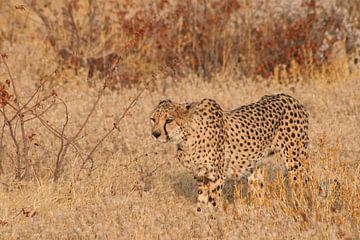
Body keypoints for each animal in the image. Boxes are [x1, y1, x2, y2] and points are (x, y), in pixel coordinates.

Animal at [149, 93, 310, 210]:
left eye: (169, 120)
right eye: (153, 119)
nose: (156, 134)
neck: (187, 138)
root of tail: (289, 97)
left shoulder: (216, 177)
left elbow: (212, 204)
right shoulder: (202, 177)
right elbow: (201, 203)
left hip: (296, 161)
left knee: (302, 185)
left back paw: (302, 208)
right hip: (256, 167)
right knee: (258, 192)